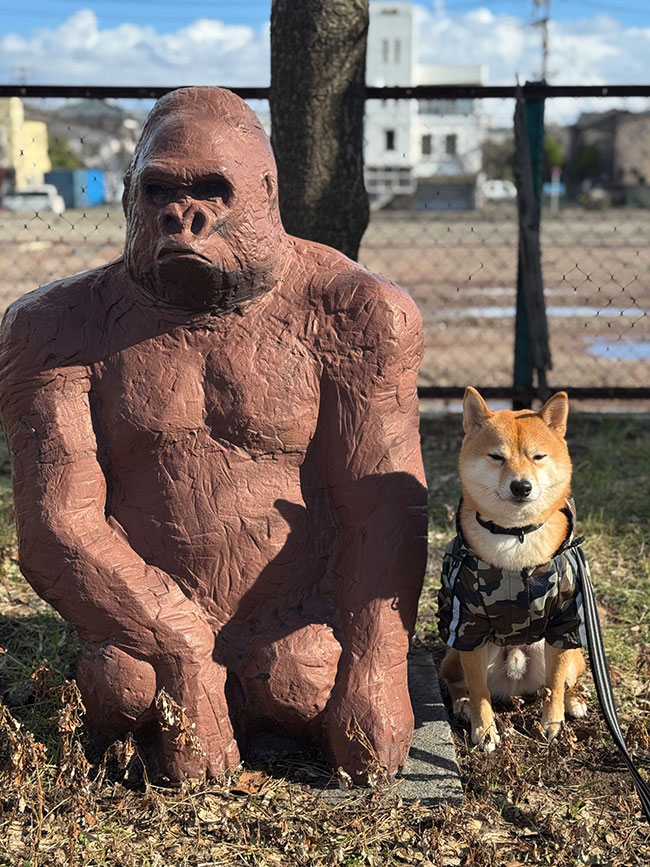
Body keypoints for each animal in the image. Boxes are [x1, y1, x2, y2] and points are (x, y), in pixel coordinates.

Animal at [438, 388, 584, 752]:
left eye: (538, 457)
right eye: (497, 457)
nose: (521, 486)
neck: (515, 537)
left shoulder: (565, 622)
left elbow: (555, 683)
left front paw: (552, 723)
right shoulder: (468, 628)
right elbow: (479, 690)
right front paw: (485, 729)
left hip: (567, 649)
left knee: (566, 678)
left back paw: (573, 701)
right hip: (456, 653)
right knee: (456, 681)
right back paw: (463, 704)